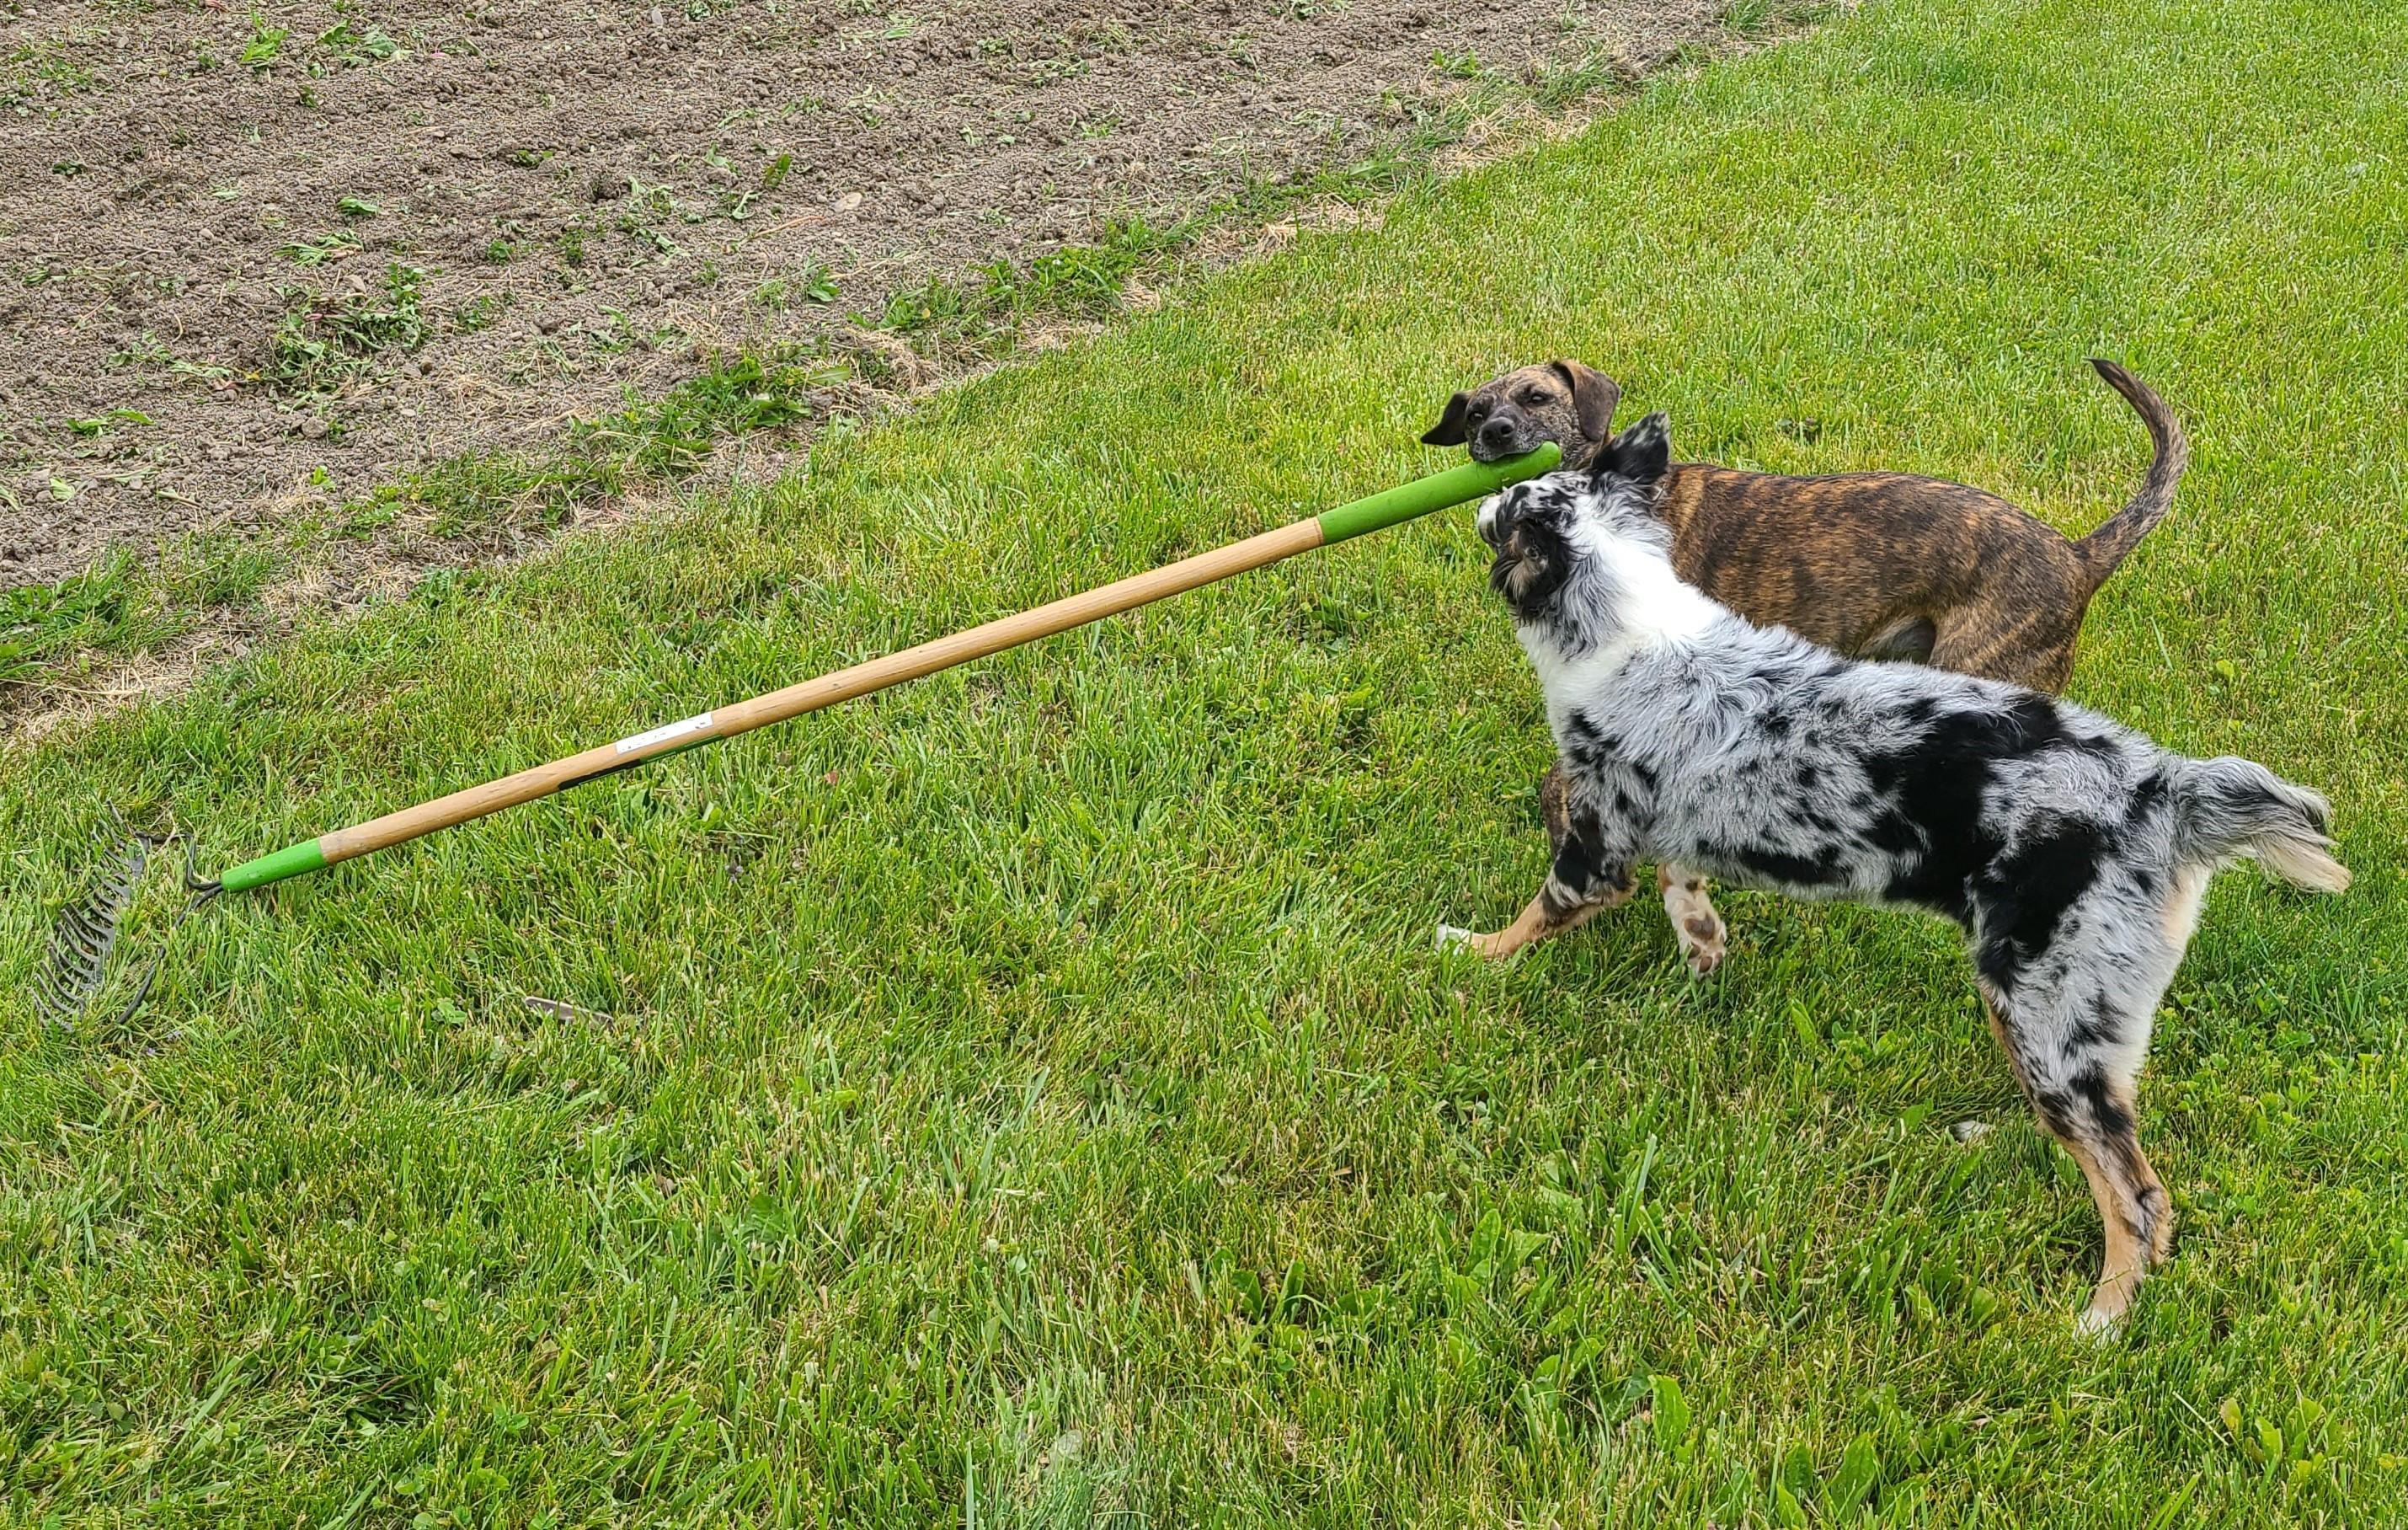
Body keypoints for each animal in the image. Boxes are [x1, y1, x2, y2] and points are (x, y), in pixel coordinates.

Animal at [1444, 412, 2350, 1340]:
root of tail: (2168, 791)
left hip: (2048, 1021)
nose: (1479, 494)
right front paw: (1701, 946)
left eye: (1512, 507)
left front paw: (1467, 948)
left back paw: (2100, 1316)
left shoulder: (1595, 844)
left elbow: (1539, 911)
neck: (1631, 623)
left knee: (2135, 1192)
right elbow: (1683, 885)